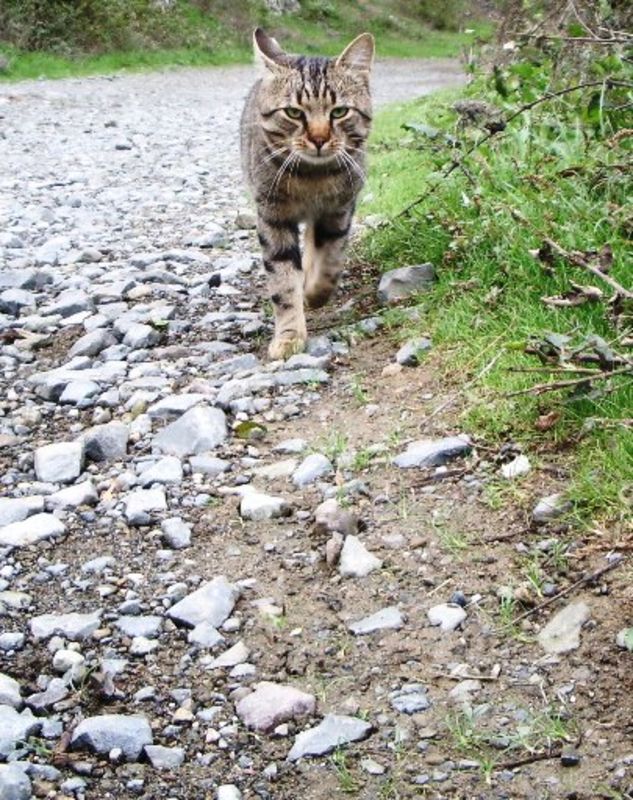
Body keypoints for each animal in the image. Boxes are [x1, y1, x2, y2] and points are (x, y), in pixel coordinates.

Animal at [240, 28, 374, 359]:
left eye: (339, 112)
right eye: (293, 112)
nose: (318, 139)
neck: (312, 179)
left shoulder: (340, 210)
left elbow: (330, 262)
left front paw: (314, 294)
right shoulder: (272, 216)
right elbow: (283, 280)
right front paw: (289, 335)